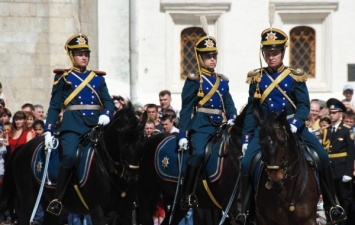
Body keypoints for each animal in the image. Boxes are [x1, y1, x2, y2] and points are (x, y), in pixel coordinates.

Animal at [1, 106, 143, 225]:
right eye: (124, 144)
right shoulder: (98, 211)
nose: (132, 177)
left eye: (142, 142)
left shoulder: (124, 212)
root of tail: (23, 147)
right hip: (28, 200)